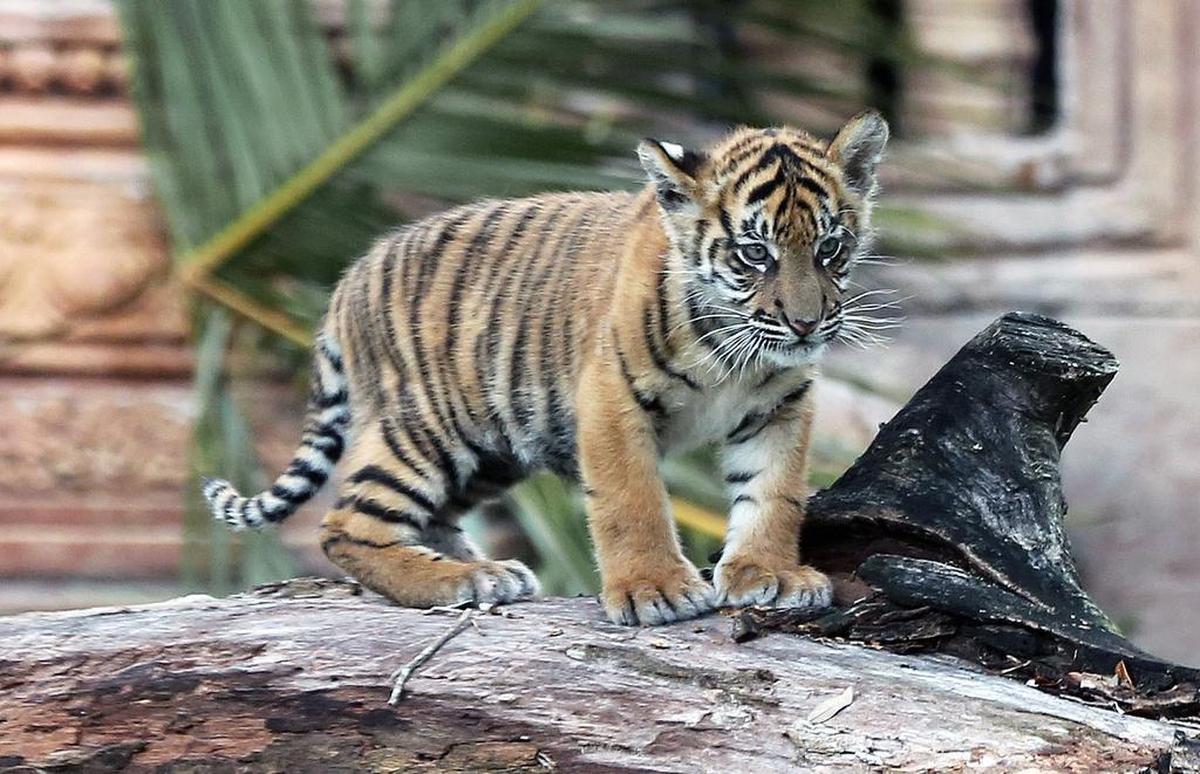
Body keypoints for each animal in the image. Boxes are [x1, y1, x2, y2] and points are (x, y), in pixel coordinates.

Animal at [202, 110, 890, 626]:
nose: (806, 324)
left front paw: (768, 573)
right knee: (346, 525)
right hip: (424, 426)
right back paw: (455, 582)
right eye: (755, 254)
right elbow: (631, 498)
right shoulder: (611, 398)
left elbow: (772, 494)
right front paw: (655, 588)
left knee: (432, 516)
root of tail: (350, 277)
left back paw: (484, 572)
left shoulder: (779, 407)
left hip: (493, 445)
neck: (736, 351)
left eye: (829, 249)